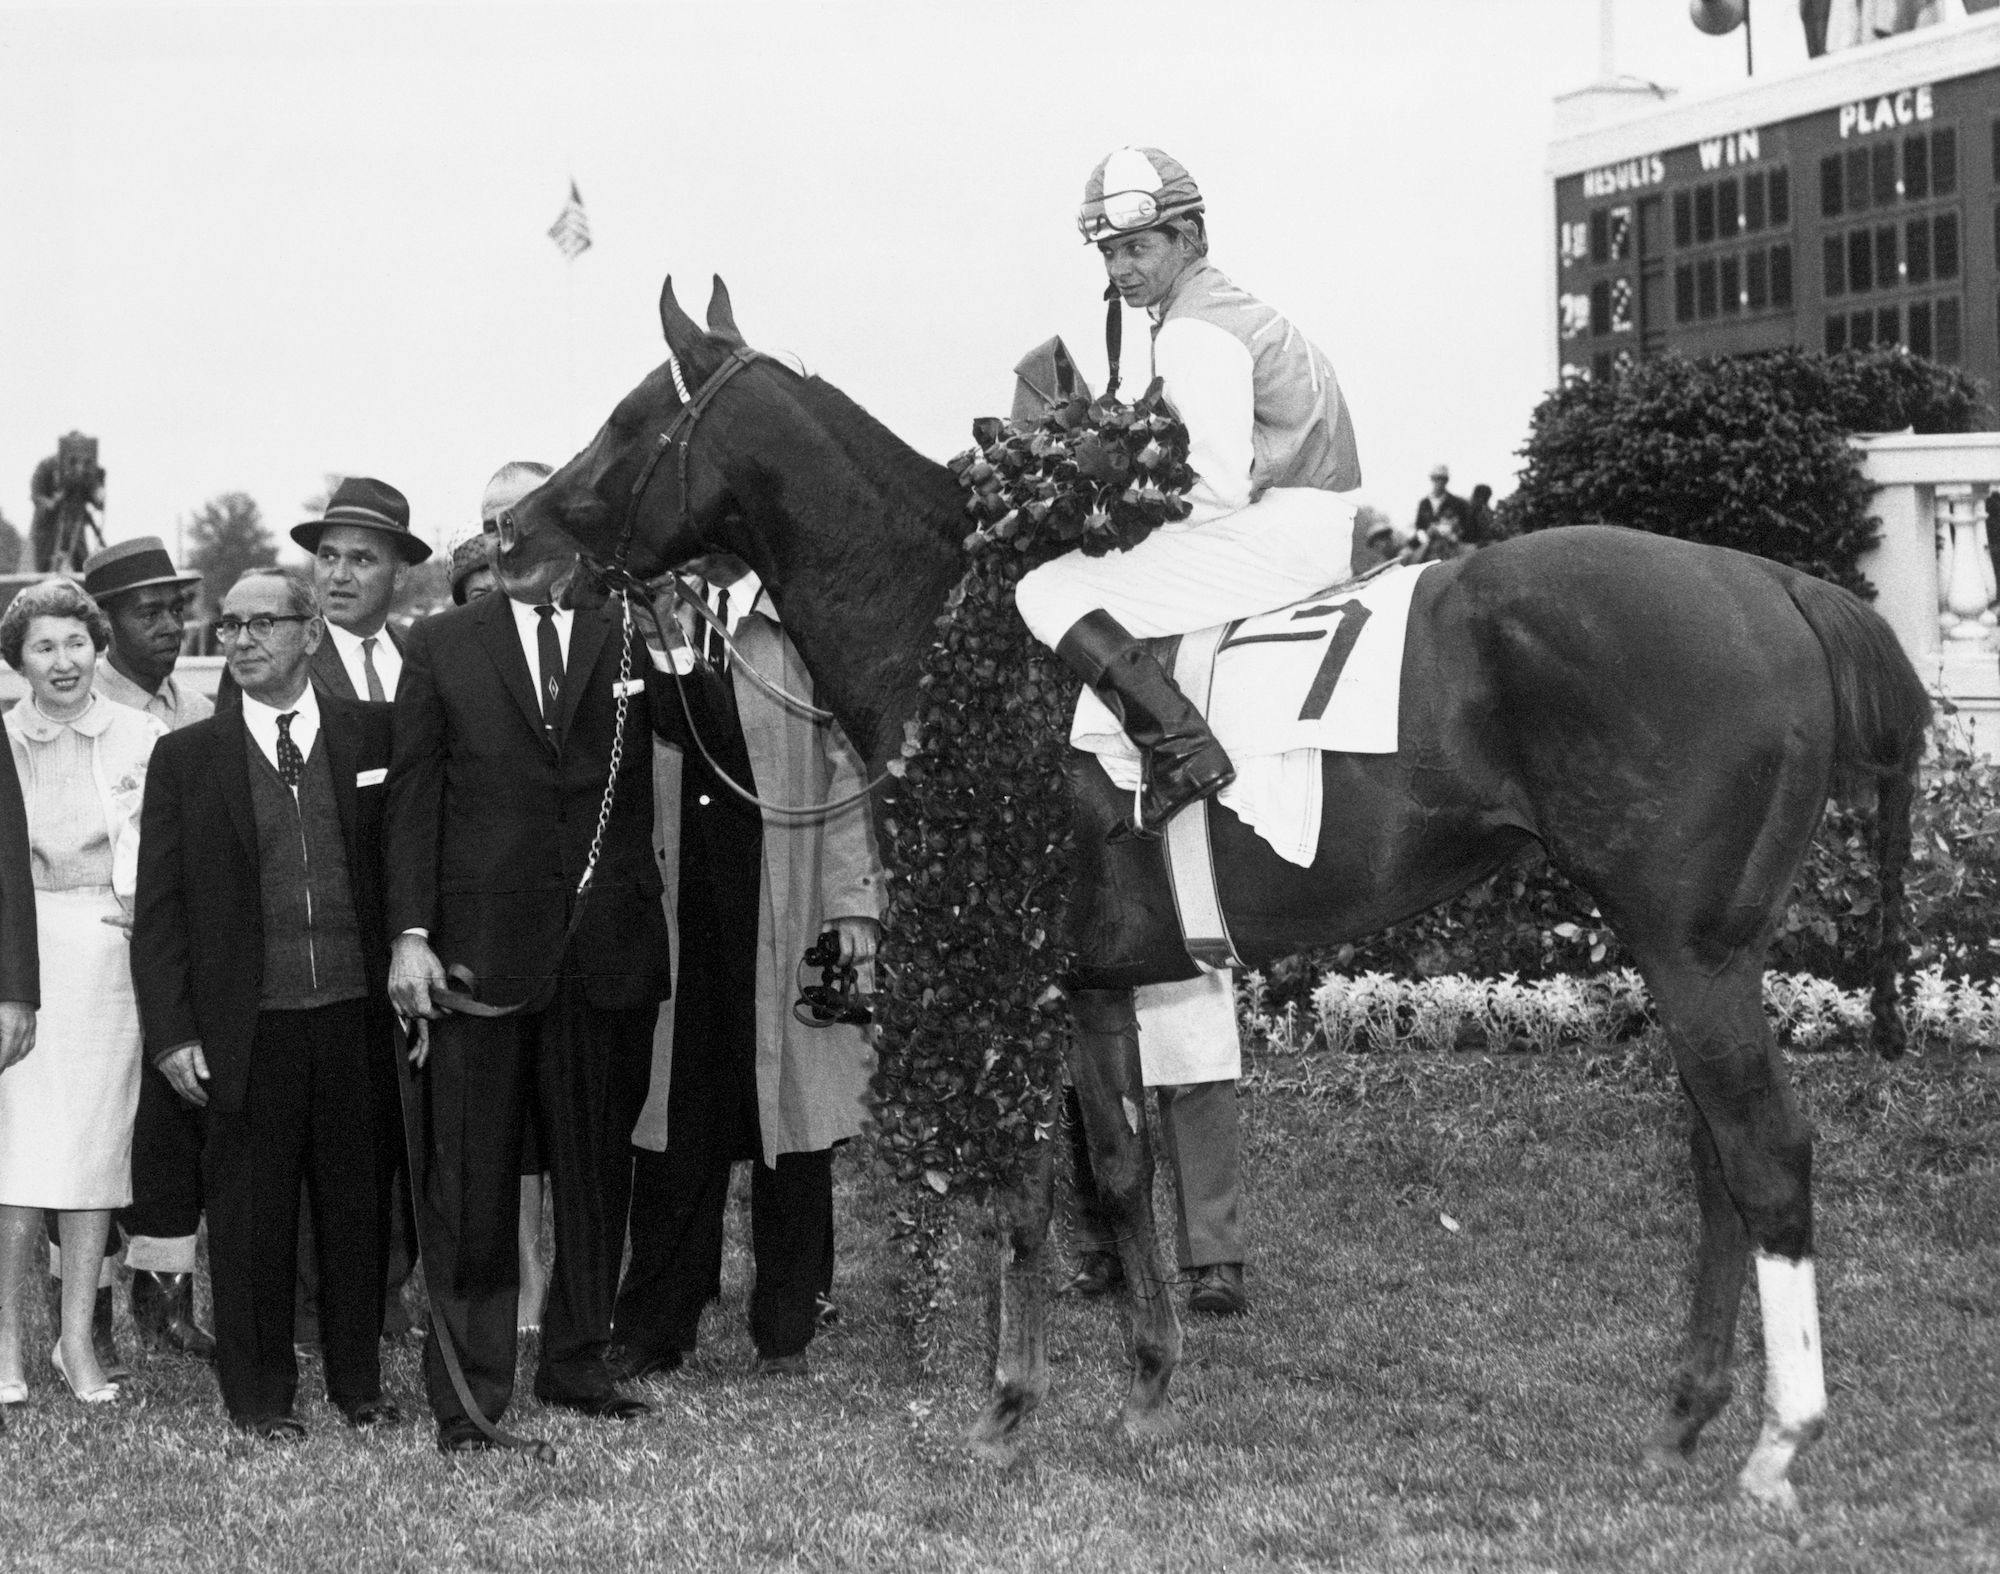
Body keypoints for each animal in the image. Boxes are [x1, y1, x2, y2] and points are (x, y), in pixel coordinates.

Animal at [508, 274, 1928, 1512]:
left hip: (1693, 950)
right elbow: (1120, 1166)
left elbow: (1024, 1188)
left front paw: (1007, 1409)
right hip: (1697, 950)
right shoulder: (1091, 983)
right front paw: (1144, 1388)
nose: (503, 546)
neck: (948, 620)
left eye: (627, 420)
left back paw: (1777, 1443)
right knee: (1713, 1161)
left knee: (1765, 1156)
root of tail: (1771, 580)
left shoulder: (1008, 968)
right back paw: (1685, 1413)